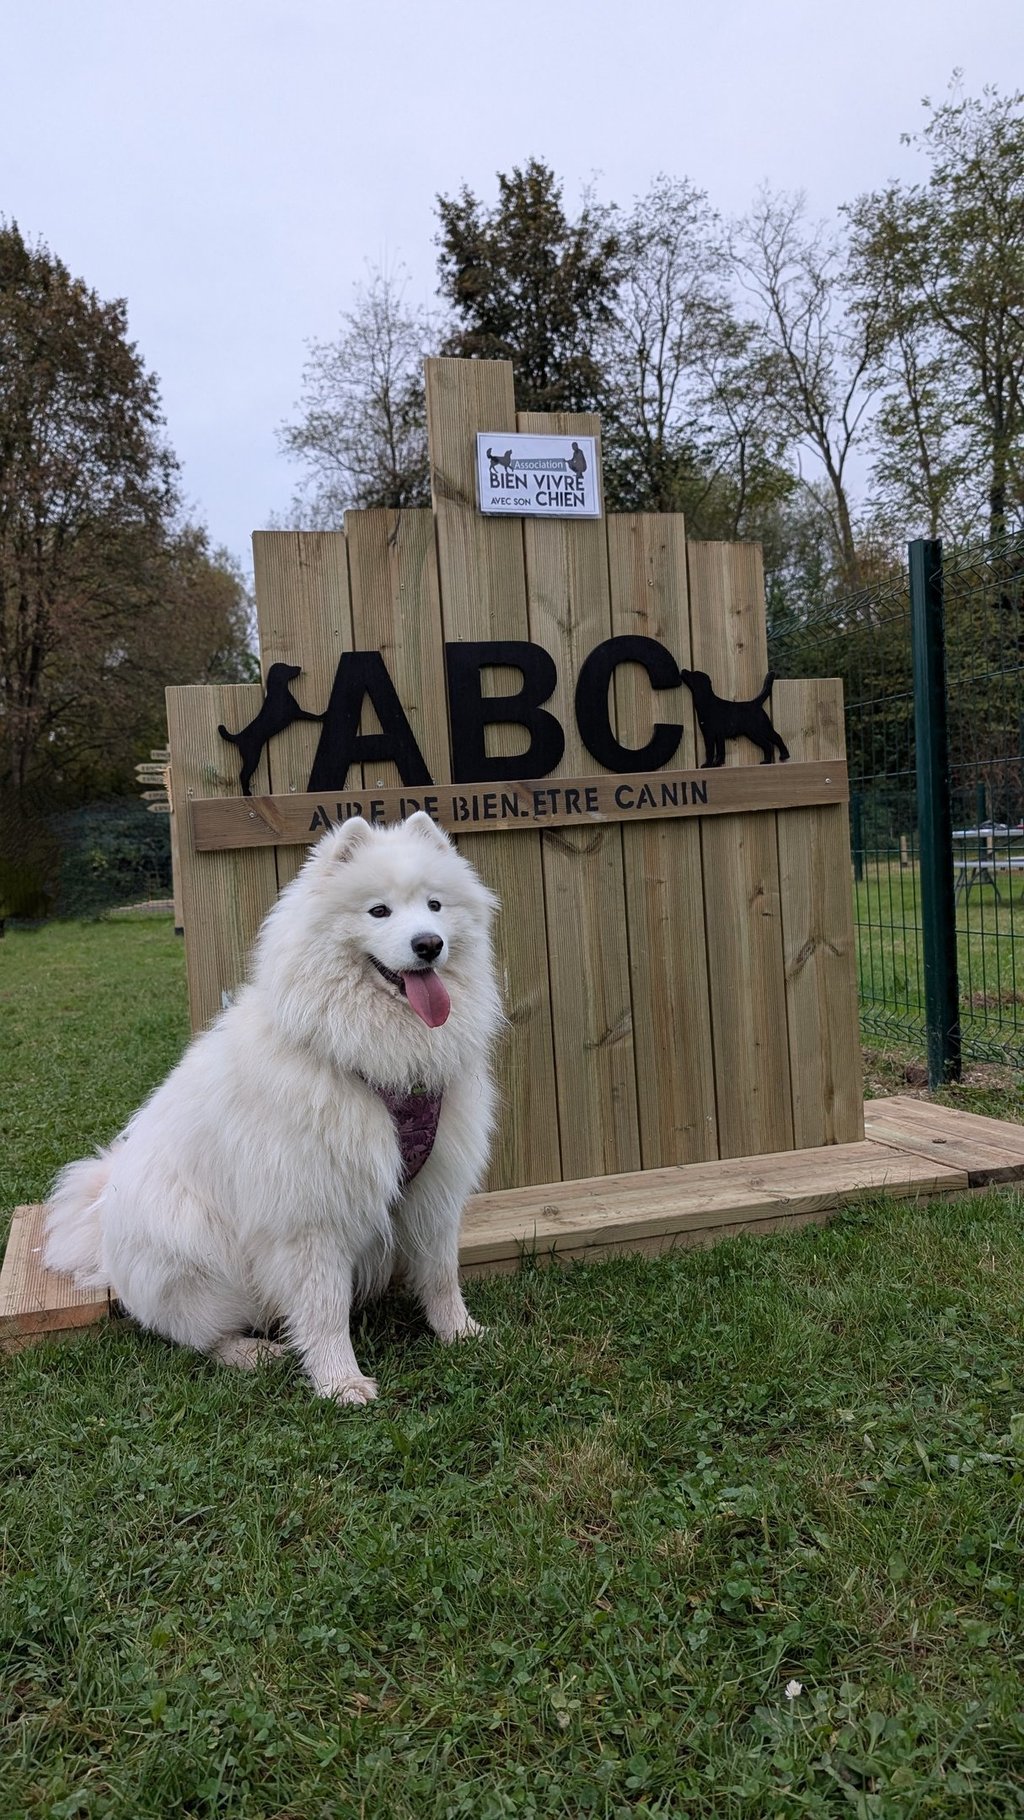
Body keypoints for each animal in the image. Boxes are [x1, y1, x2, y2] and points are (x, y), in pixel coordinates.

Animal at [44, 813, 502, 1405]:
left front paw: (462, 1335)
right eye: (378, 911)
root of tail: (100, 1228)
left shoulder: (435, 1191)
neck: (373, 1059)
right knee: (195, 1336)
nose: (429, 944)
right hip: (194, 1254)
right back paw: (251, 1353)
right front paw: (340, 1384)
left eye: (435, 906)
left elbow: (443, 1277)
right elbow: (325, 1310)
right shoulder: (309, 1217)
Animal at [219, 662, 324, 796]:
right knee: (243, 775)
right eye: (287, 667)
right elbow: (313, 716)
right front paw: (325, 715)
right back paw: (247, 793)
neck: (278, 690)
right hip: (252, 757)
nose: (299, 667)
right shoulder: (297, 713)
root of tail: (238, 737)